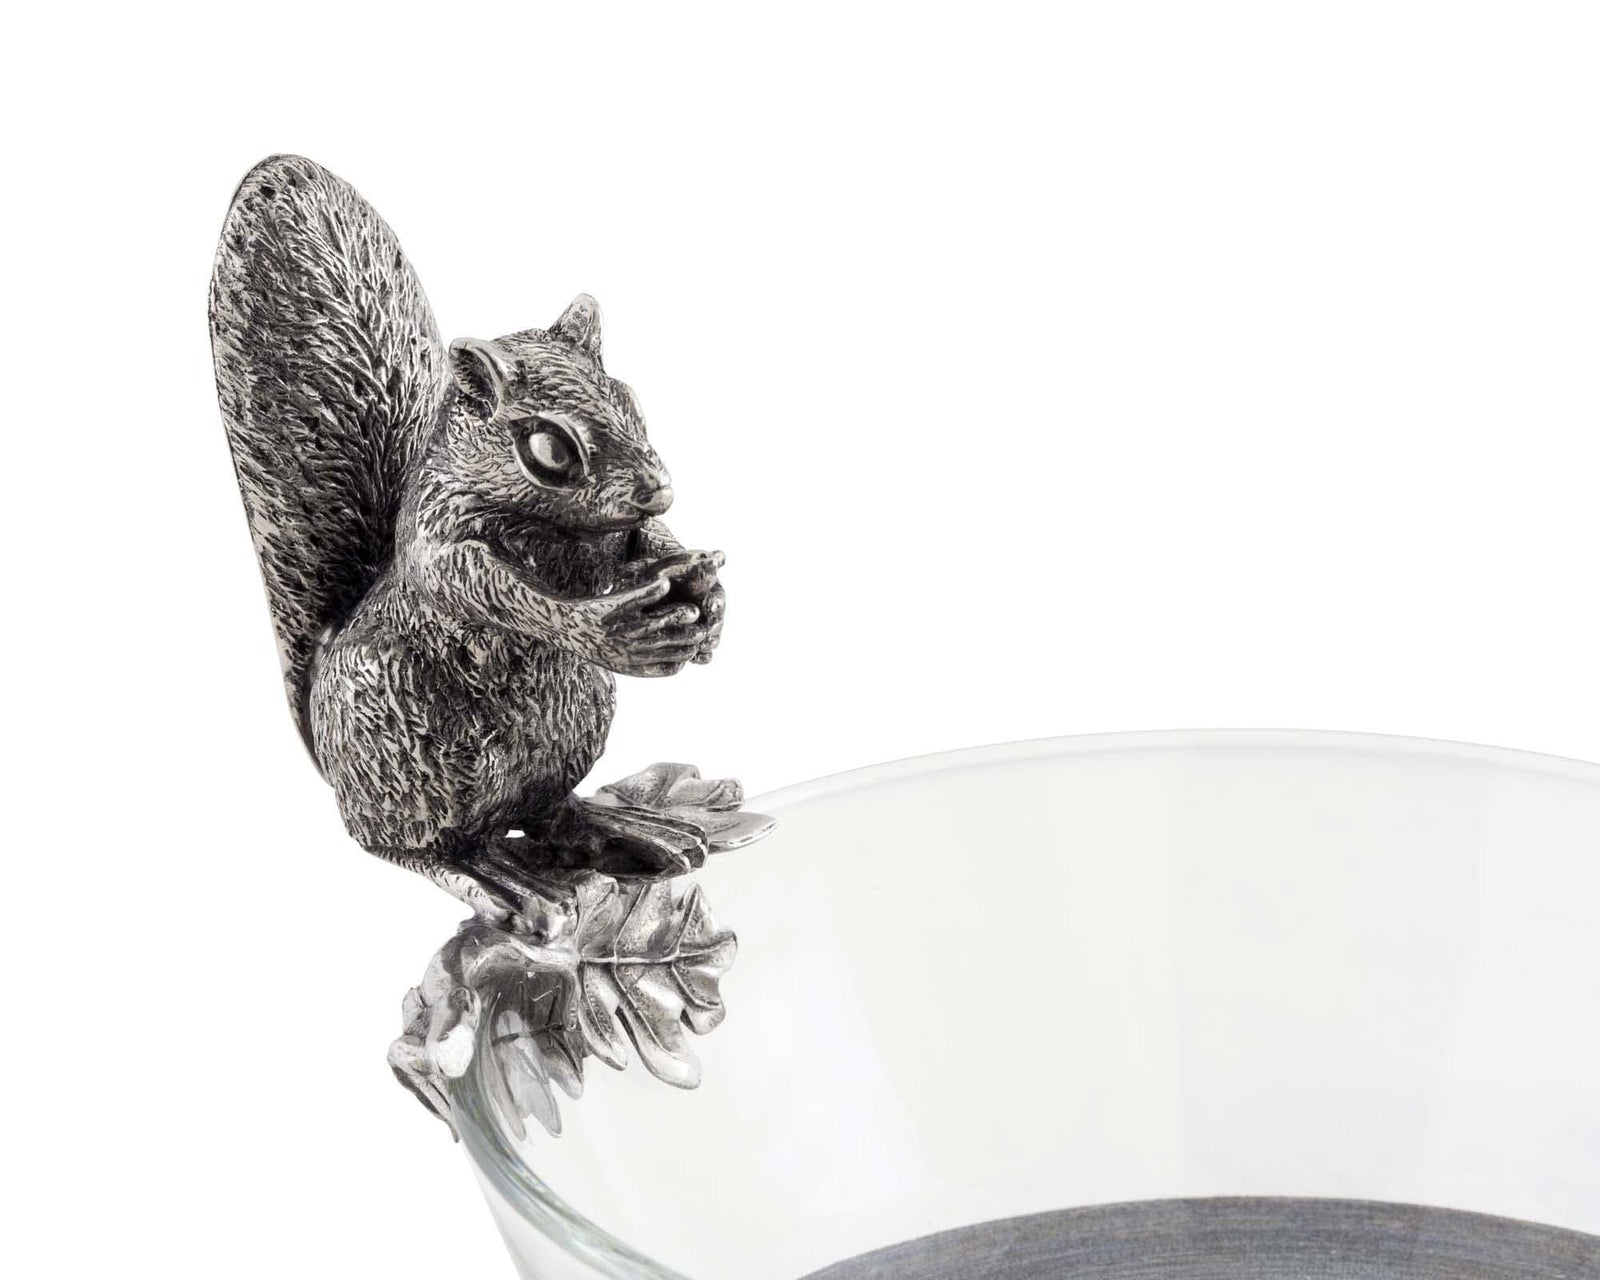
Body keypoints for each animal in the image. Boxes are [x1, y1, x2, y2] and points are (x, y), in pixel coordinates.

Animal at [210, 155, 729, 912]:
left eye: (630, 398)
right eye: (549, 447)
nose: (659, 488)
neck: (559, 527)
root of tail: (335, 767)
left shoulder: (620, 535)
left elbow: (649, 542)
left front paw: (710, 595)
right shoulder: (441, 535)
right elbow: (481, 583)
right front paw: (602, 628)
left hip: (573, 729)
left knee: (547, 813)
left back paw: (626, 829)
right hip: (404, 745)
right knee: (413, 847)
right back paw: (497, 884)